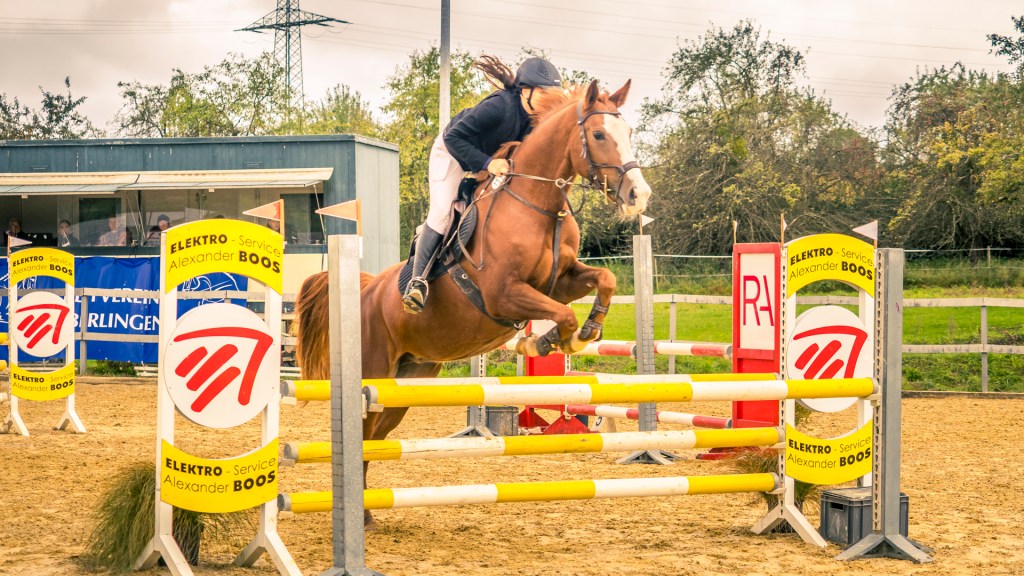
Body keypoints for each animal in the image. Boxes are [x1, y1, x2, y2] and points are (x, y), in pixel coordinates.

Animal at [295, 79, 652, 527]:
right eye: (600, 135)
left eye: (629, 132)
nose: (639, 195)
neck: (536, 203)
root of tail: (364, 288)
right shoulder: (504, 293)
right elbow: (563, 315)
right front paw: (542, 342)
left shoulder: (560, 281)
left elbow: (604, 280)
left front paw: (588, 329)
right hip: (373, 374)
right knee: (362, 432)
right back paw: (357, 515)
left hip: (409, 380)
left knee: (376, 436)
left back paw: (366, 512)